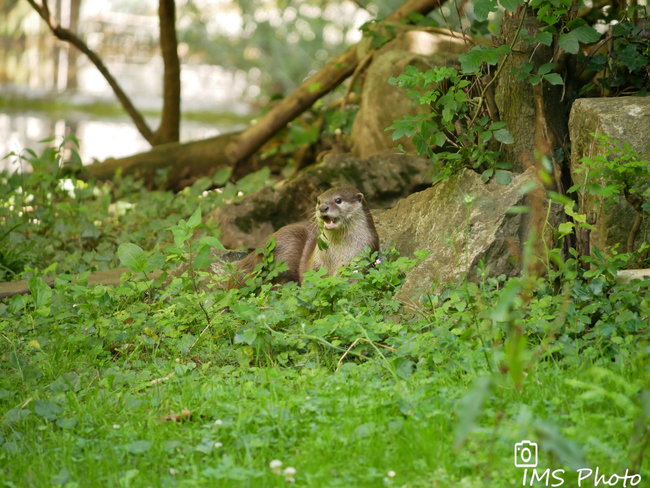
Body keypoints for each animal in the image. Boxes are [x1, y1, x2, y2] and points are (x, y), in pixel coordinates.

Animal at [229, 186, 378, 286]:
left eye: (338, 200)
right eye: (318, 201)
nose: (323, 208)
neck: (334, 257)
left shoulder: (361, 255)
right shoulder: (316, 260)